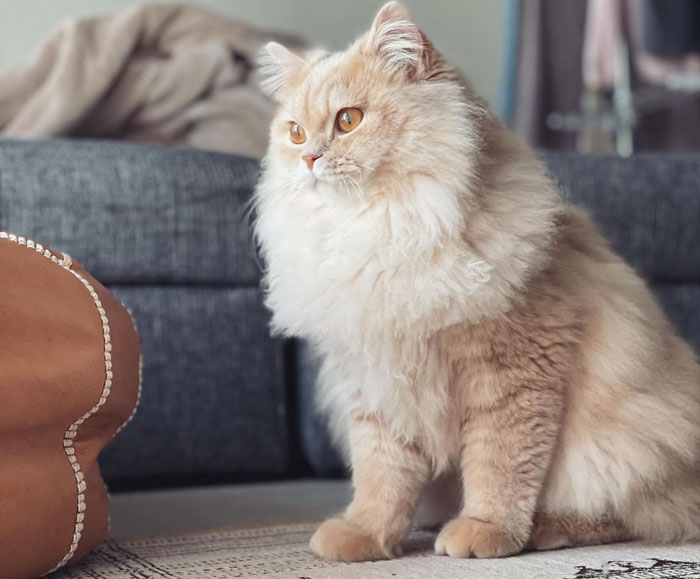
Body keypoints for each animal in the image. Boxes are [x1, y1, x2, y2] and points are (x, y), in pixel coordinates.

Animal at [254, 1, 700, 560]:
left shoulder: (512, 371)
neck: (383, 230)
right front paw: (367, 536)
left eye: (348, 120)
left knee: (632, 512)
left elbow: (500, 466)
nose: (309, 159)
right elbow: (381, 477)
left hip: (622, 440)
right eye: (294, 132)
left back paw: (546, 529)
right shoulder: (374, 379)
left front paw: (484, 531)